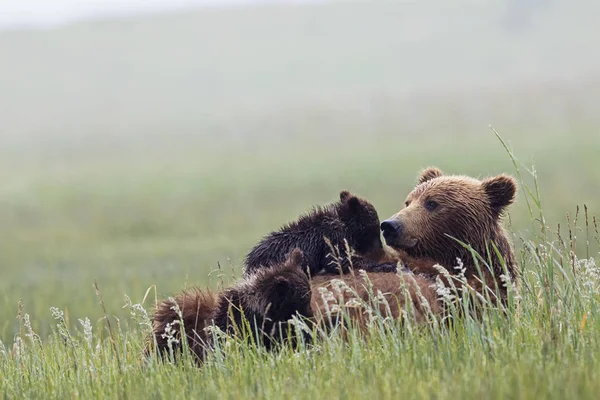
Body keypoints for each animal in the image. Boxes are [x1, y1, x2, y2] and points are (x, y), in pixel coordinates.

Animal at [241, 190, 400, 278]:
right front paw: (386, 265)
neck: (345, 226)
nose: (379, 248)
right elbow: (335, 261)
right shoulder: (331, 237)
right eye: (375, 228)